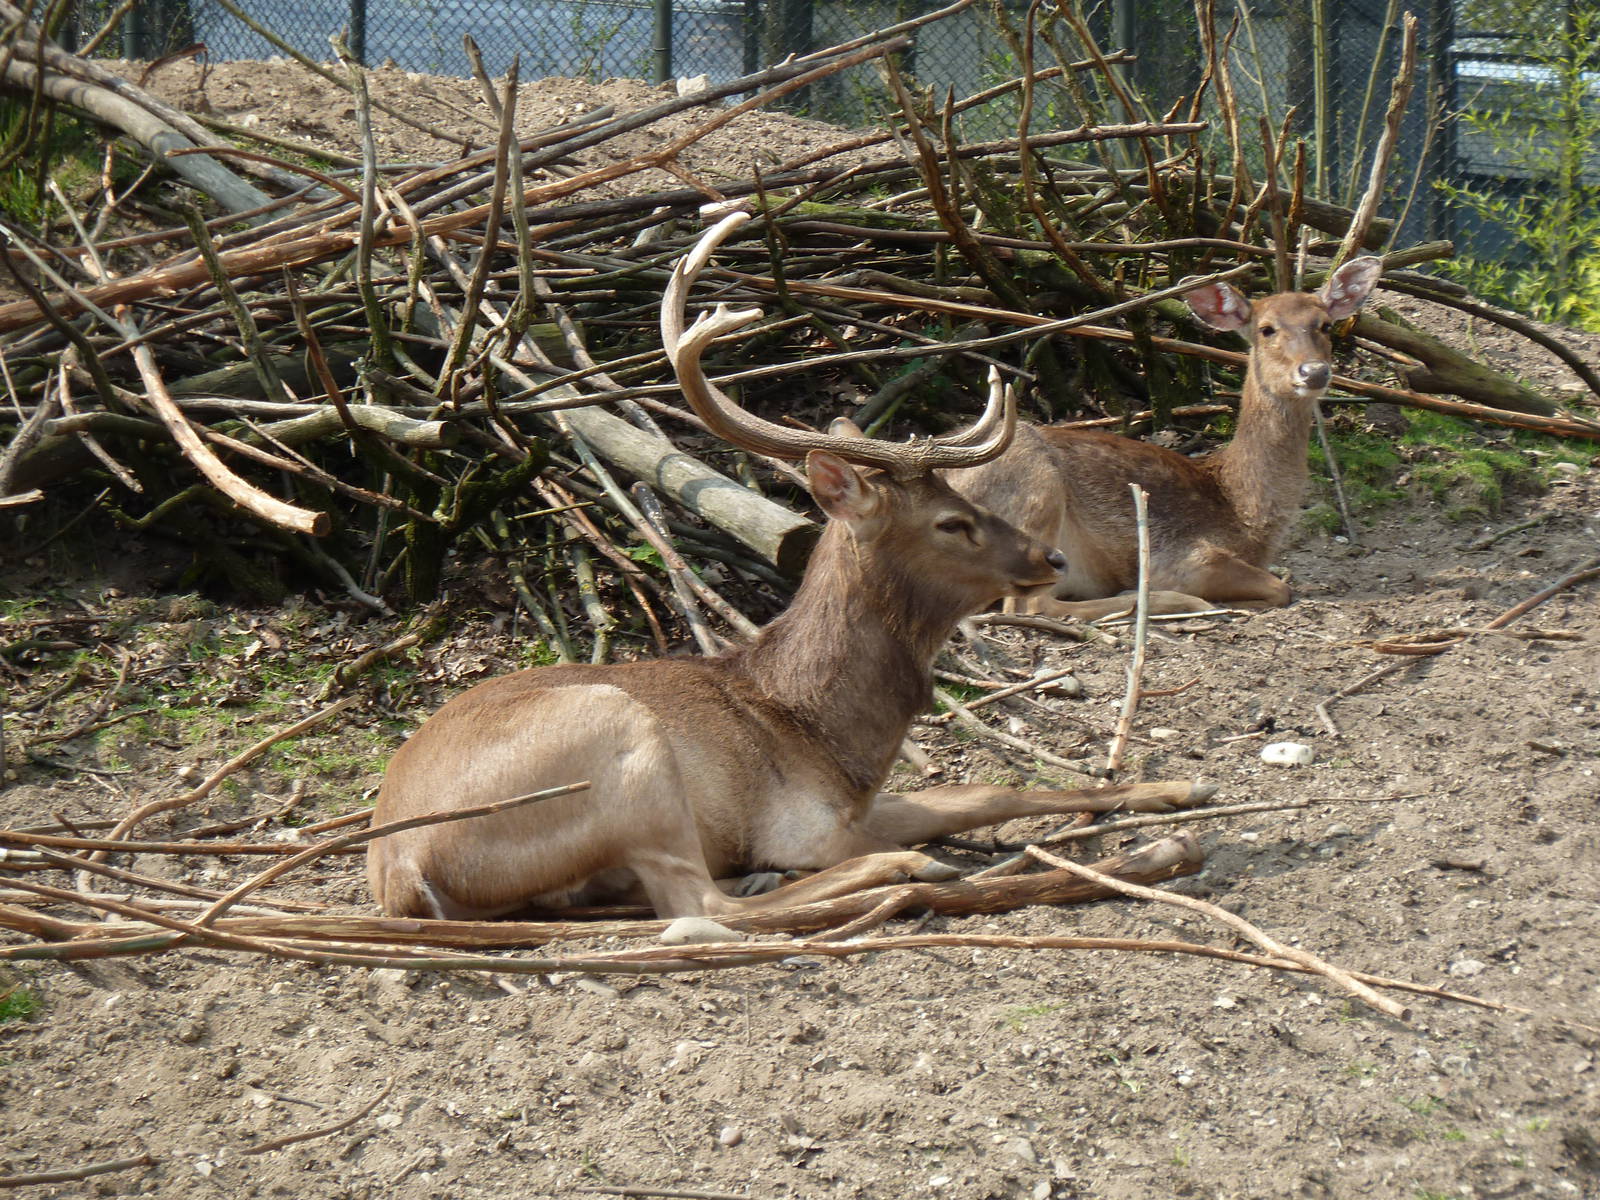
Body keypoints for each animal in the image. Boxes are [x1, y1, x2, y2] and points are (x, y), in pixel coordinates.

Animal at [367, 211, 1215, 922]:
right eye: (952, 522)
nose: (1051, 556)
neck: (825, 732)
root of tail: (404, 871)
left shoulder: (864, 800)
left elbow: (990, 789)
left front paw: (1180, 786)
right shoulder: (805, 824)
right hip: (620, 745)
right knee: (705, 907)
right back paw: (912, 871)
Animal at [945, 258, 1385, 622]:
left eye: (1324, 325)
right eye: (1266, 329)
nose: (1314, 371)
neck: (1244, 514)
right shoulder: (1184, 556)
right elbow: (1281, 587)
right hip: (1036, 488)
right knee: (1031, 606)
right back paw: (1165, 601)